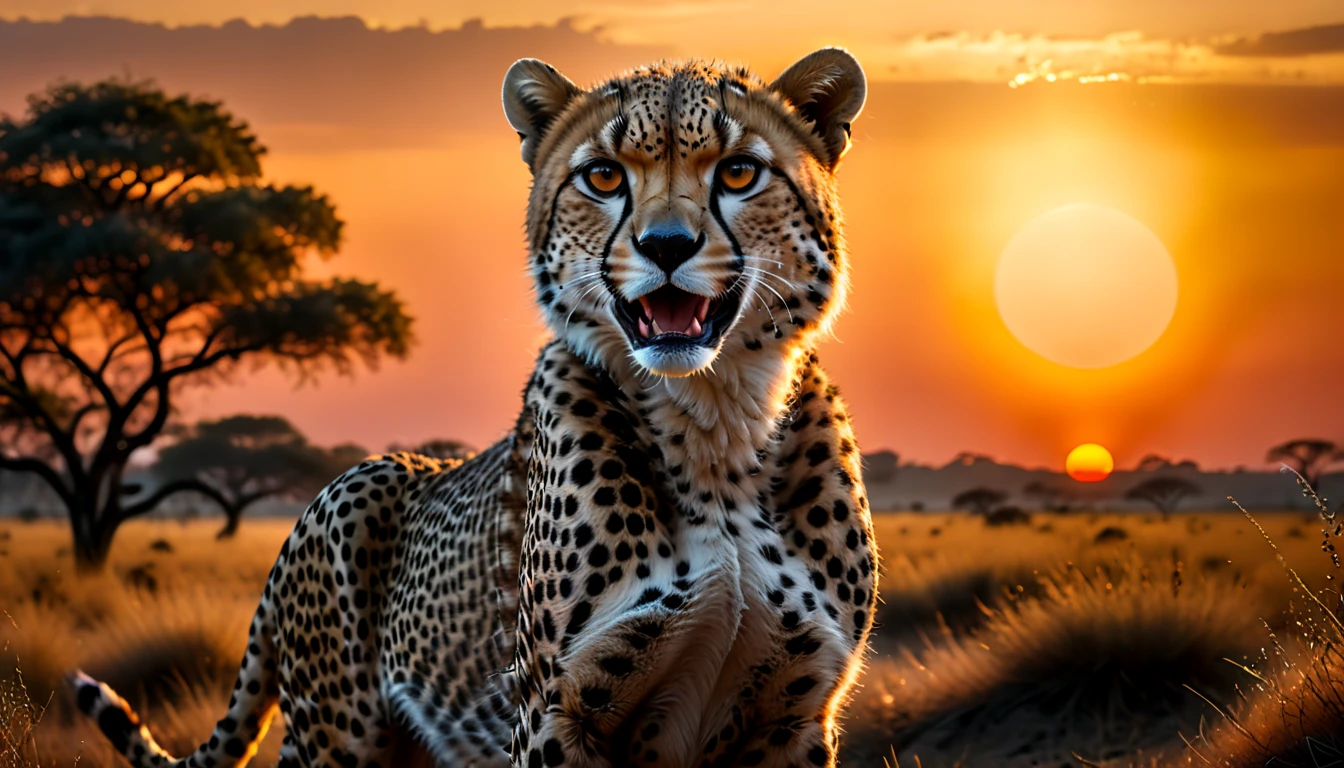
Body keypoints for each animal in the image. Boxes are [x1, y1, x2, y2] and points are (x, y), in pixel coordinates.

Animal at [70, 47, 880, 768]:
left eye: (739, 171)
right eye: (604, 176)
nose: (666, 245)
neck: (715, 423)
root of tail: (302, 518)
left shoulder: (796, 719)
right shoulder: (557, 712)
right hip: (338, 728)